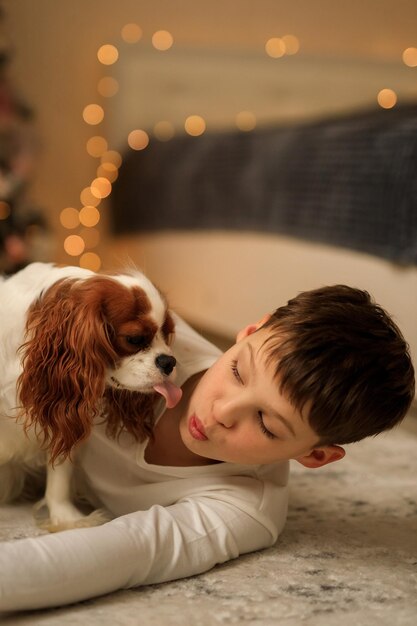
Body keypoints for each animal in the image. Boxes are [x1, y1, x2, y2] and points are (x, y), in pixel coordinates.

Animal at [0, 260, 182, 528]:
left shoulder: (63, 413)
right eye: (134, 339)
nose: (169, 361)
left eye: (167, 333)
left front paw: (66, 519)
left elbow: (60, 474)